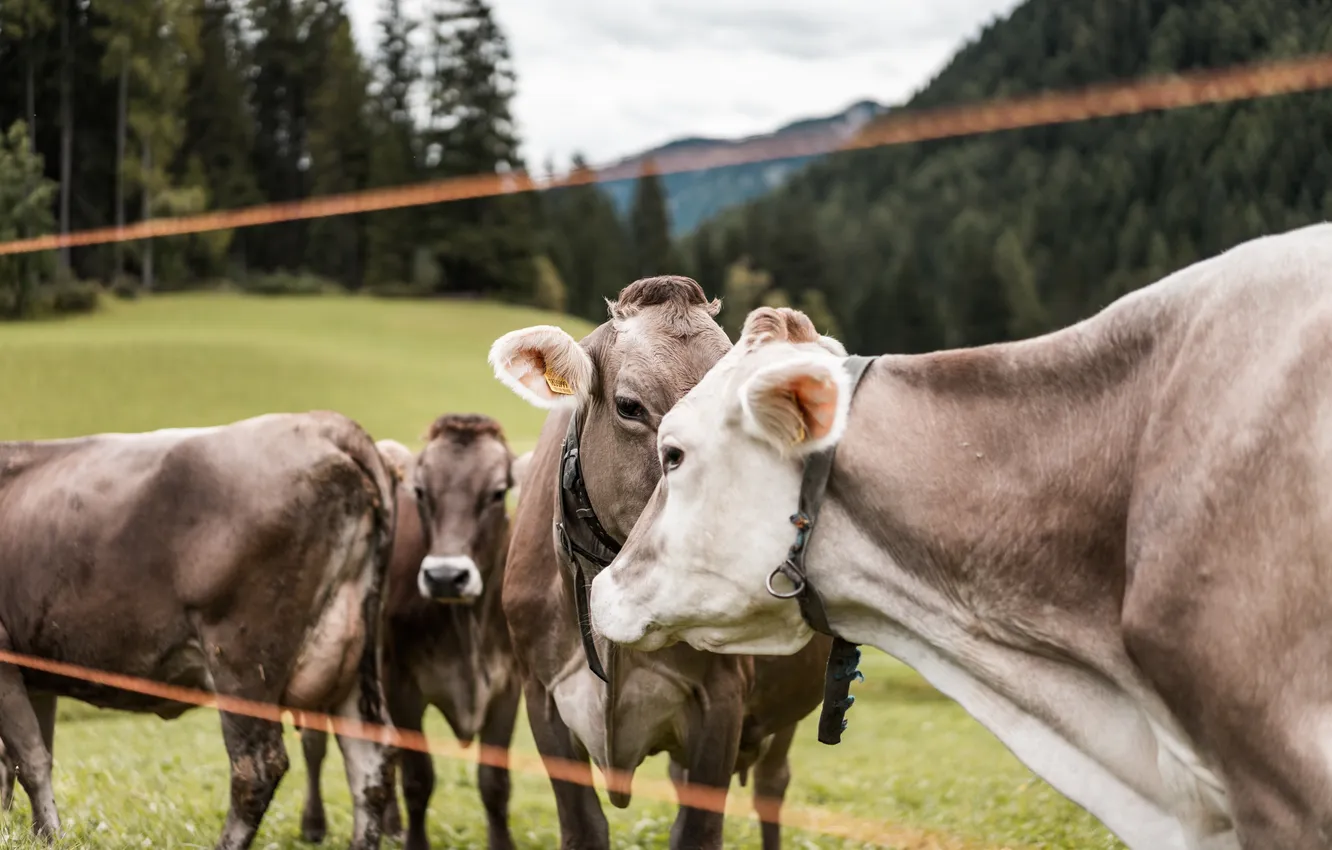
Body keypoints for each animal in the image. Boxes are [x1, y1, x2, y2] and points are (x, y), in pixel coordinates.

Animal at [0, 411, 397, 850]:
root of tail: (321, 424)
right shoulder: (38, 671)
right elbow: (35, 754)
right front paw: (42, 836)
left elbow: (28, 759)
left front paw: (48, 835)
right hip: (355, 659)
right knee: (370, 760)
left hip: (243, 660)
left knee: (258, 767)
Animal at [299, 417, 528, 850]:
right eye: (421, 491)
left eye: (497, 492)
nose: (445, 576)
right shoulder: (401, 683)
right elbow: (419, 778)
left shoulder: (508, 686)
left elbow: (495, 784)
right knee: (314, 743)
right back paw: (313, 824)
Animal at [489, 275, 831, 850]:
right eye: (629, 406)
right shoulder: (542, 697)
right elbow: (582, 827)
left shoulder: (723, 699)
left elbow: (698, 830)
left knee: (772, 786)